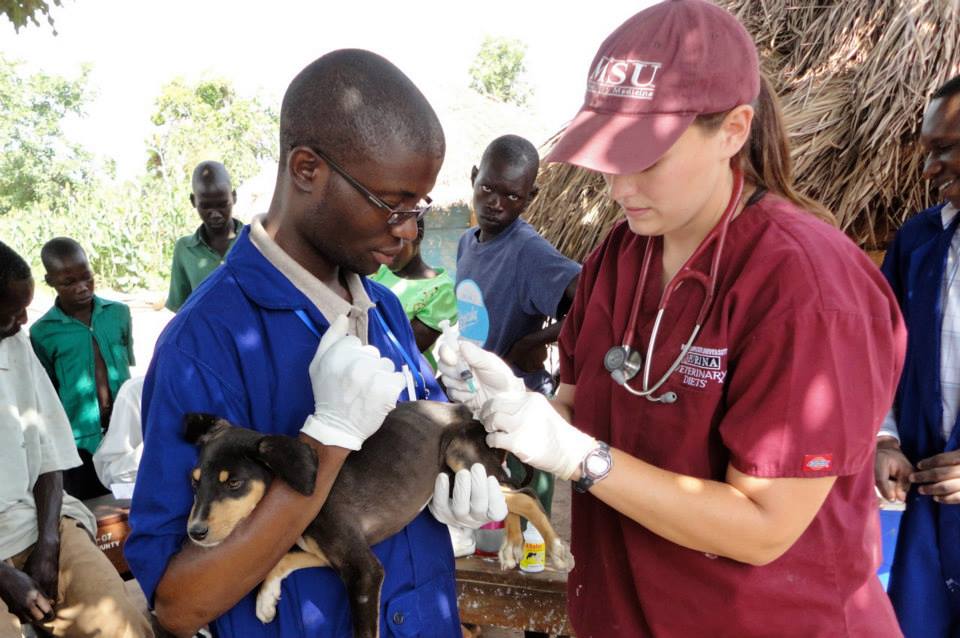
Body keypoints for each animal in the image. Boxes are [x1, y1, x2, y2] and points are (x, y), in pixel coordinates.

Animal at [182, 400, 568, 638]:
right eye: (195, 482)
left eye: (233, 483)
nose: (194, 533)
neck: (290, 499)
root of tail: (463, 411)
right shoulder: (330, 554)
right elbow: (282, 559)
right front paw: (265, 600)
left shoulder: (364, 571)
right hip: (460, 479)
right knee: (508, 502)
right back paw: (512, 547)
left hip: (462, 460)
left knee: (526, 496)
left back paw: (557, 550)